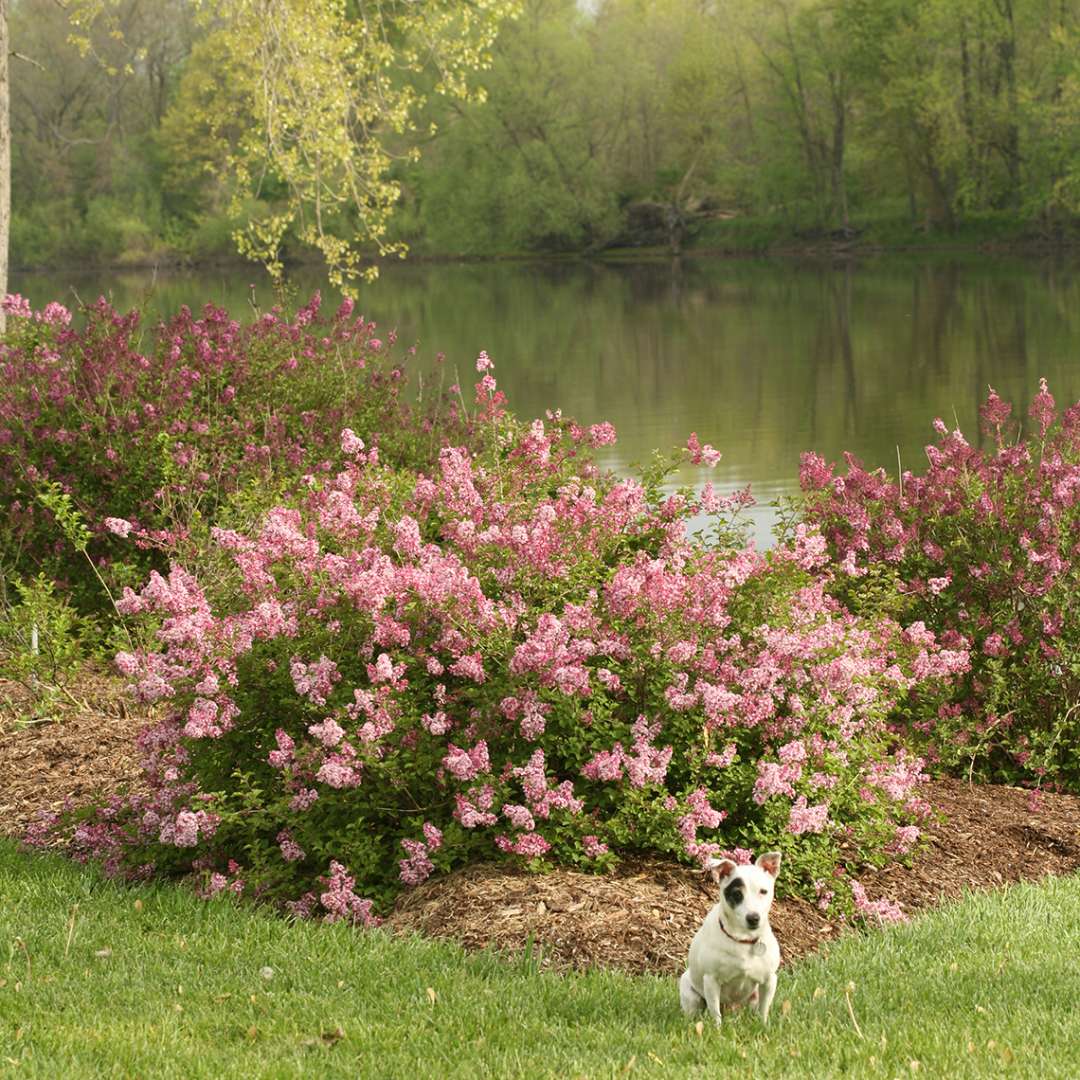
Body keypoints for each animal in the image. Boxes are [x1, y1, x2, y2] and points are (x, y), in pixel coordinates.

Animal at [678, 851, 781, 1028]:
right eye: (737, 894)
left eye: (763, 891)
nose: (753, 918)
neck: (743, 940)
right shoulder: (711, 981)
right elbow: (715, 1012)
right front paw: (717, 1030)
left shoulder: (769, 980)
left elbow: (764, 1009)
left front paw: (763, 1026)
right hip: (690, 992)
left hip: (753, 997)